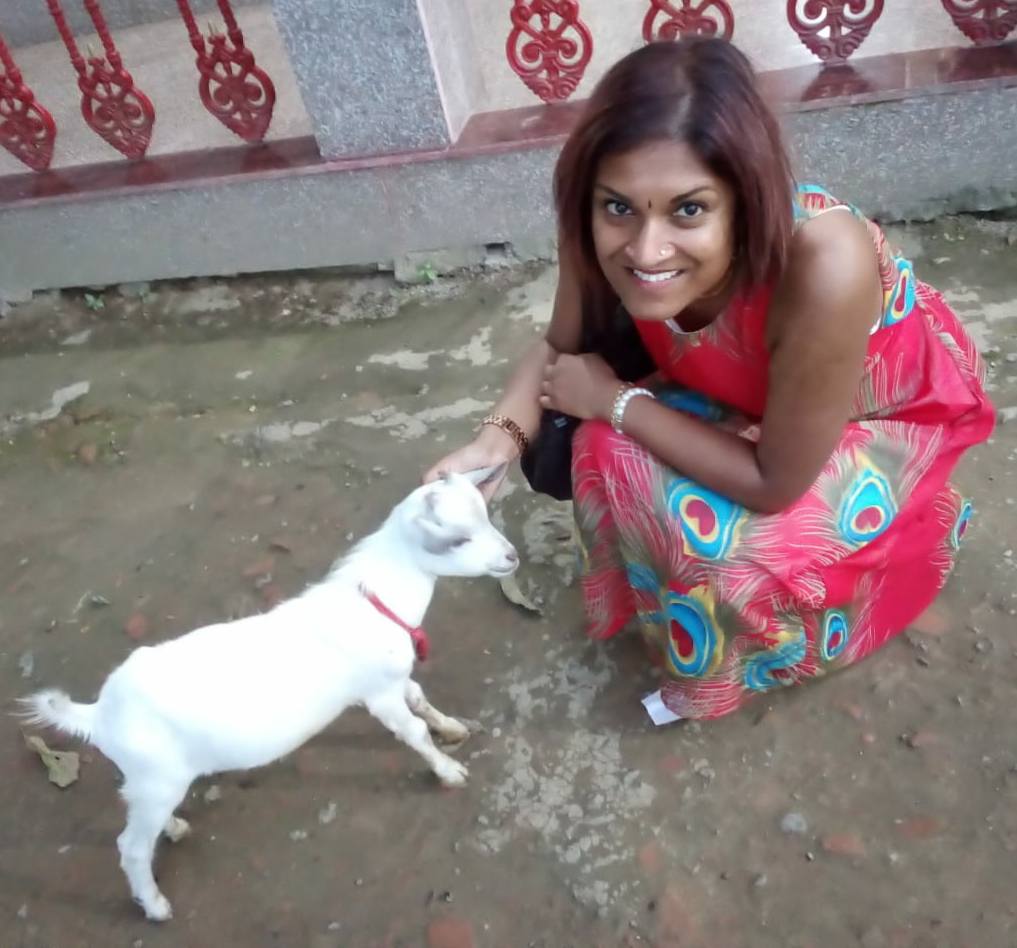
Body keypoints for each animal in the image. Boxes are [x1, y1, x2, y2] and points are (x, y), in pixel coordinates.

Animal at [18, 465, 516, 919]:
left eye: (485, 513)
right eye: (458, 539)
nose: (511, 557)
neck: (375, 602)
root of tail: (99, 714)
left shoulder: (392, 680)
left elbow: (420, 700)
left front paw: (453, 728)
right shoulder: (379, 695)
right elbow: (413, 732)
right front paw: (448, 770)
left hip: (149, 781)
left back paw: (174, 829)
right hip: (157, 778)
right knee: (130, 846)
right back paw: (155, 906)